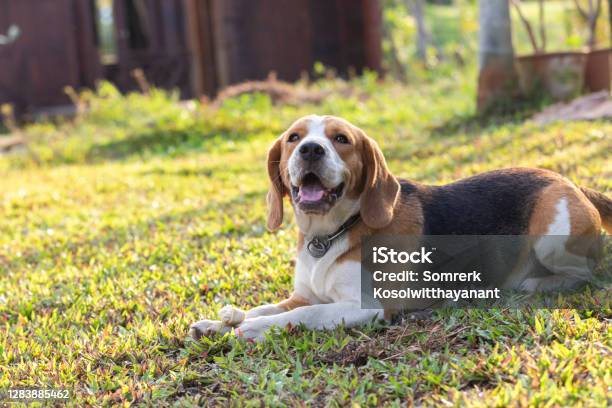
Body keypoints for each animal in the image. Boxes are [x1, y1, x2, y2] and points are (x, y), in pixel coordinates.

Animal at [189, 114, 608, 342]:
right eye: (294, 138)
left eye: (341, 139)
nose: (310, 149)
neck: (331, 234)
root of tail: (569, 181)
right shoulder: (304, 295)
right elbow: (267, 306)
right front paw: (222, 321)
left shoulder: (365, 307)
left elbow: (304, 316)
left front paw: (255, 329)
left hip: (553, 235)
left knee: (588, 274)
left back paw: (533, 284)